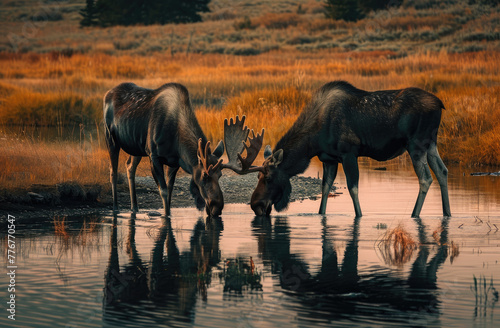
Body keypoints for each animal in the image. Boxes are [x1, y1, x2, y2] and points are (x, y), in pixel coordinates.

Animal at [103, 82, 225, 218]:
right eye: (205, 175)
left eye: (220, 174)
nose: (217, 207)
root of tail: (107, 94)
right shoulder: (153, 156)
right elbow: (164, 190)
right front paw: (166, 216)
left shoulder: (174, 162)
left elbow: (170, 189)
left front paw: (168, 214)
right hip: (111, 139)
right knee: (113, 171)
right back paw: (115, 208)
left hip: (136, 148)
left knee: (129, 166)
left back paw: (134, 207)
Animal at [225, 80, 452, 218]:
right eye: (257, 177)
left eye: (269, 178)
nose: (255, 205)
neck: (312, 141)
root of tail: (441, 104)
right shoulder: (329, 159)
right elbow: (325, 188)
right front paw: (321, 214)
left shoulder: (349, 153)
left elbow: (353, 189)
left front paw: (359, 216)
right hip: (431, 143)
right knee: (442, 171)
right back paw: (447, 213)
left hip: (416, 144)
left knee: (426, 178)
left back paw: (414, 214)